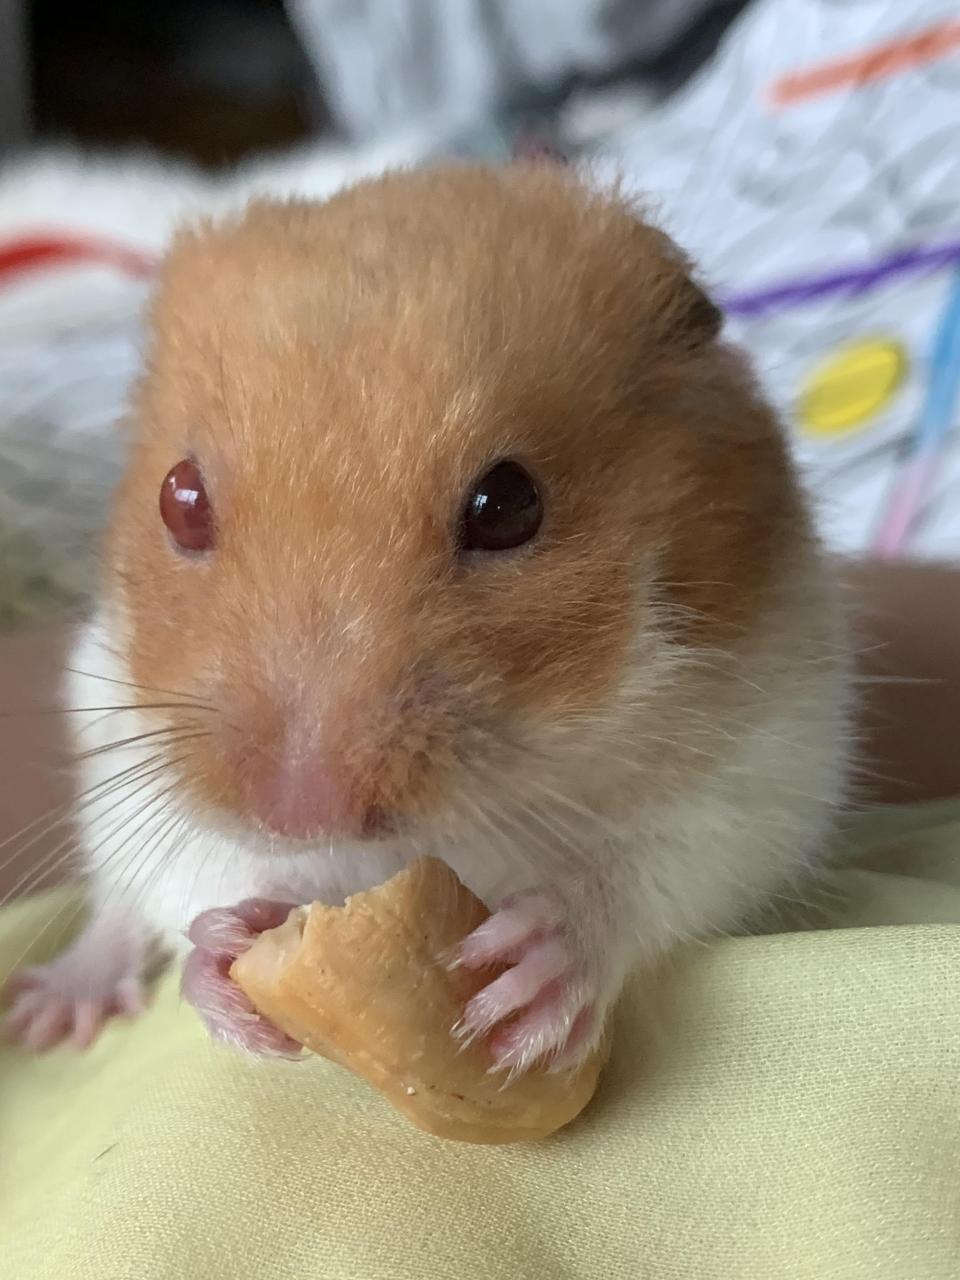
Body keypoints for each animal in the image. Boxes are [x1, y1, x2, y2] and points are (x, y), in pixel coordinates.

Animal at [4, 163, 850, 1069]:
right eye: (180, 500)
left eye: (509, 506)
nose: (302, 815)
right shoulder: (129, 736)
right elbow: (197, 877)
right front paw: (228, 956)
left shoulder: (770, 742)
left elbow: (646, 867)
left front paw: (526, 979)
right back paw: (53, 1012)